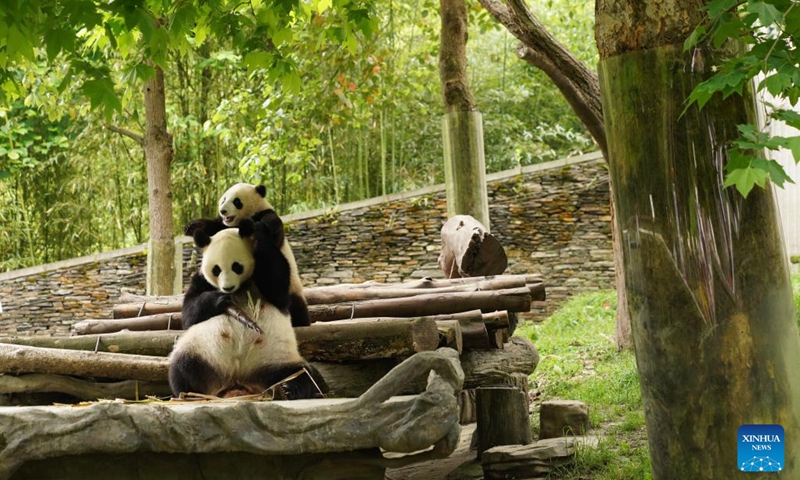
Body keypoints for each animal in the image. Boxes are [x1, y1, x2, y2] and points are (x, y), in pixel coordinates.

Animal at [170, 220, 326, 399]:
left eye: (237, 266)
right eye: (216, 269)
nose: (227, 288)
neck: (240, 288)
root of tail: (239, 382)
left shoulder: (275, 284)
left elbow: (276, 285)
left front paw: (258, 231)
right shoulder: (201, 281)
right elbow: (189, 313)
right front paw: (219, 300)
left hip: (275, 360)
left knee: (303, 373)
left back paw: (290, 389)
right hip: (202, 353)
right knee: (182, 369)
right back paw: (190, 393)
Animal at [184, 183, 310, 328]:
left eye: (236, 201)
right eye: (223, 199)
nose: (223, 211)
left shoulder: (266, 216)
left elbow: (271, 227)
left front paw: (263, 228)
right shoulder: (222, 226)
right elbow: (213, 226)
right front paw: (192, 226)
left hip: (293, 290)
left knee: (296, 307)